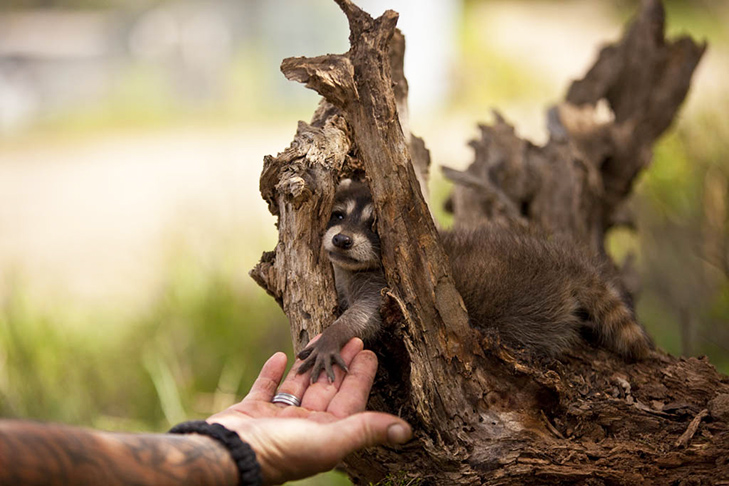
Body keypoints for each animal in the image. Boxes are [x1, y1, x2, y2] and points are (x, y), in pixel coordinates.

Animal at [298, 179, 652, 384]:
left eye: (375, 226)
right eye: (339, 215)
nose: (342, 240)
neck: (355, 269)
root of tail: (562, 261)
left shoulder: (387, 287)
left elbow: (366, 316)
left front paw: (334, 334)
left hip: (527, 305)